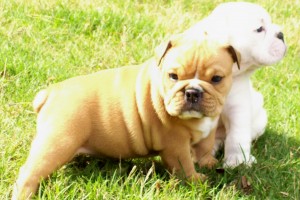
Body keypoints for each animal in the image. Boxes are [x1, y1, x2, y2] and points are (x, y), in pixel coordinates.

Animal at [12, 32, 239, 198]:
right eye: (173, 76)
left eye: (217, 79)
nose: (192, 92)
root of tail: (50, 93)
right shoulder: (175, 145)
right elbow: (184, 165)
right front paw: (196, 180)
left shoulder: (209, 129)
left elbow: (204, 146)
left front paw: (208, 162)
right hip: (57, 142)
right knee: (29, 173)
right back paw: (24, 194)